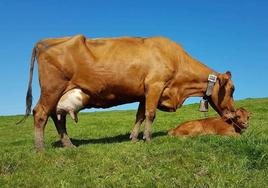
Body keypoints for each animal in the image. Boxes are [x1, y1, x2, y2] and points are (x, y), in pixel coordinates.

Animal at [24, 35, 236, 150]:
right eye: (232, 89)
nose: (233, 114)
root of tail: (44, 41)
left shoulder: (144, 93)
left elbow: (139, 115)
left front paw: (134, 137)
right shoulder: (155, 85)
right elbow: (150, 114)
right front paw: (147, 138)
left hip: (58, 95)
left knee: (57, 117)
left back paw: (69, 145)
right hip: (52, 89)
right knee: (40, 113)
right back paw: (40, 147)